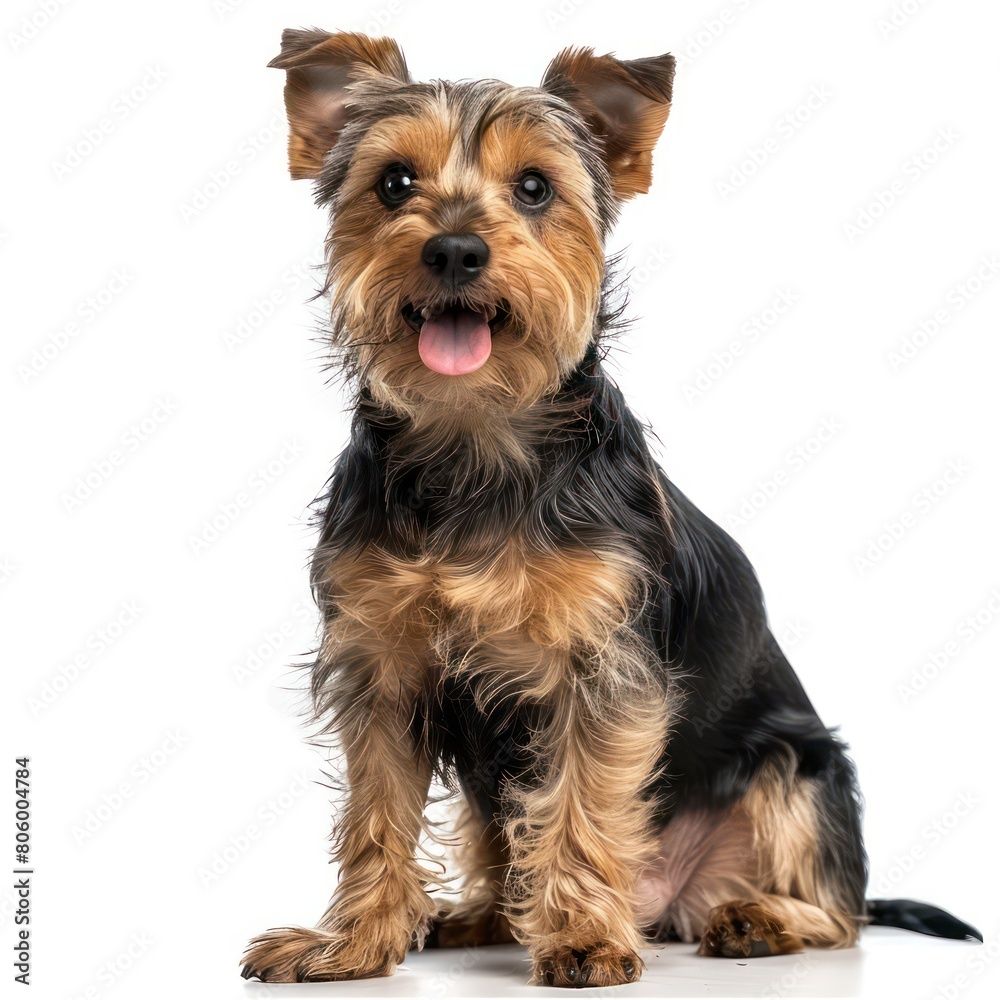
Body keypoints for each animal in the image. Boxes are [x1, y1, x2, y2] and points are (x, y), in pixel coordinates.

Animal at [240, 29, 976, 984]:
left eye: (534, 188)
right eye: (394, 182)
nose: (454, 250)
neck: (475, 442)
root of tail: (672, 903)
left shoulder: (600, 668)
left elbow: (583, 802)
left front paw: (585, 938)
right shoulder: (381, 666)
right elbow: (378, 810)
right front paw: (354, 943)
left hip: (800, 770)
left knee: (837, 911)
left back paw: (753, 919)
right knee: (505, 849)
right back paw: (476, 915)